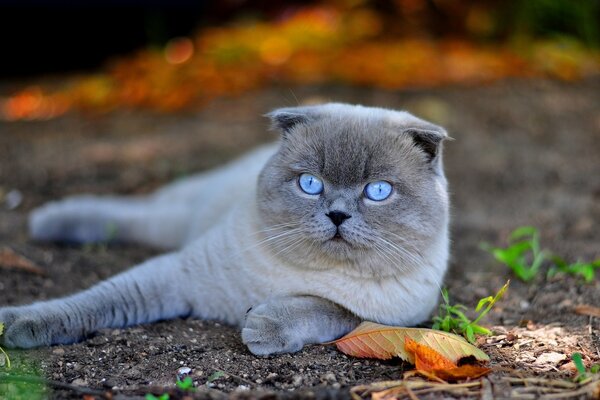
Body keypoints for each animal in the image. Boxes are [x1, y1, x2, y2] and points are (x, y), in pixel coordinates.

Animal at [0, 104, 450, 356]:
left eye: (378, 191)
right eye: (310, 183)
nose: (337, 215)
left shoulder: (386, 316)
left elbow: (324, 307)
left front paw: (262, 326)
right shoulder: (177, 275)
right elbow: (92, 302)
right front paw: (17, 325)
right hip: (178, 216)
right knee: (131, 213)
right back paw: (48, 221)